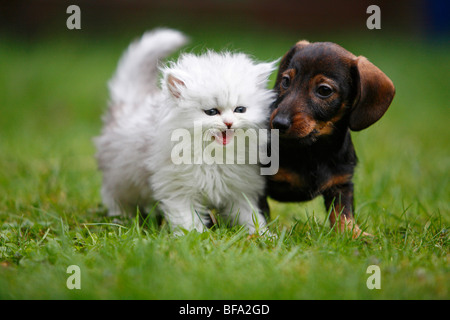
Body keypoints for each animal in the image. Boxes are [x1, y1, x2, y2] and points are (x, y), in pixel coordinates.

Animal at [96, 29, 274, 235]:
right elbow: (188, 222)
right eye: (211, 112)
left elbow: (250, 216)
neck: (214, 156)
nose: (229, 123)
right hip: (120, 179)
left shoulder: (239, 190)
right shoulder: (179, 192)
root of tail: (130, 103)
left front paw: (263, 236)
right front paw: (196, 238)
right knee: (115, 198)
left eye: (240, 110)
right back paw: (120, 220)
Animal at [268, 40, 394, 236]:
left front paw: (354, 234)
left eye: (324, 90)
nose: (278, 123)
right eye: (286, 81)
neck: (312, 150)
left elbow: (343, 213)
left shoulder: (341, 184)